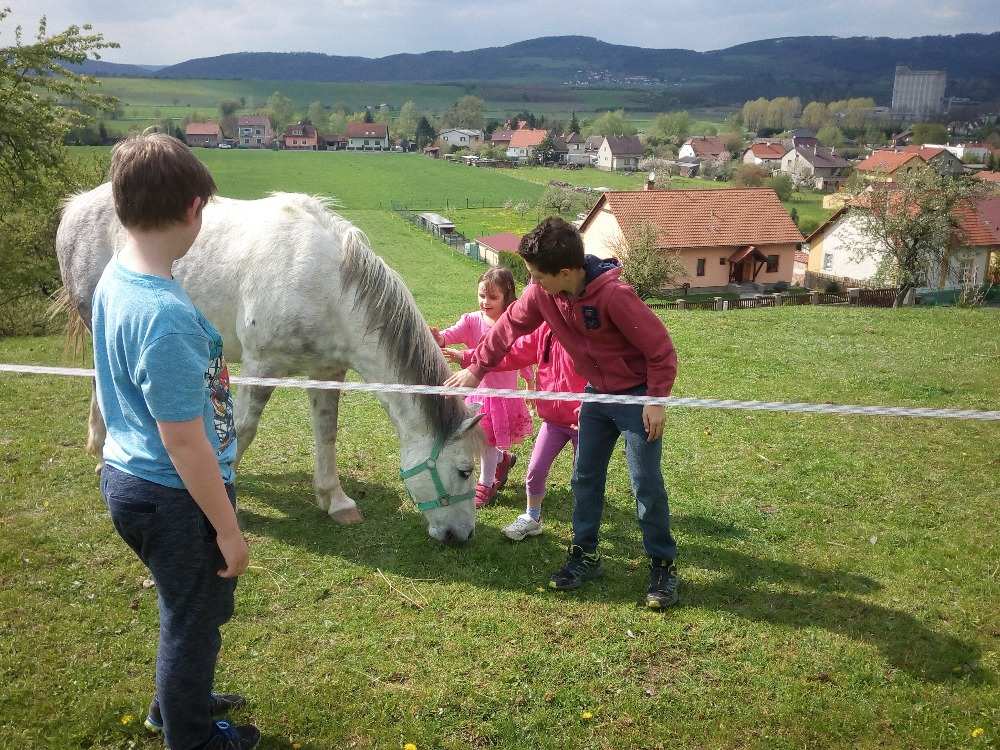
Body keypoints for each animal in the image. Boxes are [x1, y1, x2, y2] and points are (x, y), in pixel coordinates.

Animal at [56, 184, 486, 544]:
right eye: (464, 470)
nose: (462, 536)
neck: (328, 286)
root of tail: (76, 205)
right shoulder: (260, 368)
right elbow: (242, 430)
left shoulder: (326, 373)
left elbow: (326, 433)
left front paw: (336, 501)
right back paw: (104, 452)